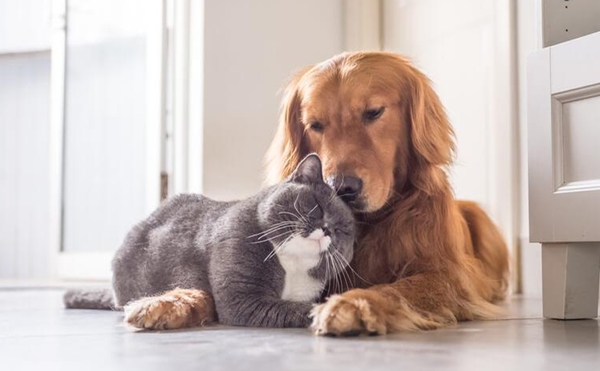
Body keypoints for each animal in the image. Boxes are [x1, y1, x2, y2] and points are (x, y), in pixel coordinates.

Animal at [64, 154, 356, 328]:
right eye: (316, 206)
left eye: (343, 230)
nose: (327, 230)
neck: (292, 265)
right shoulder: (241, 298)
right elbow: (296, 308)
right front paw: (329, 312)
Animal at [264, 50, 508, 336]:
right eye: (315, 125)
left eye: (373, 112)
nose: (341, 187)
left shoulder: (447, 275)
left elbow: (397, 289)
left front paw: (352, 304)